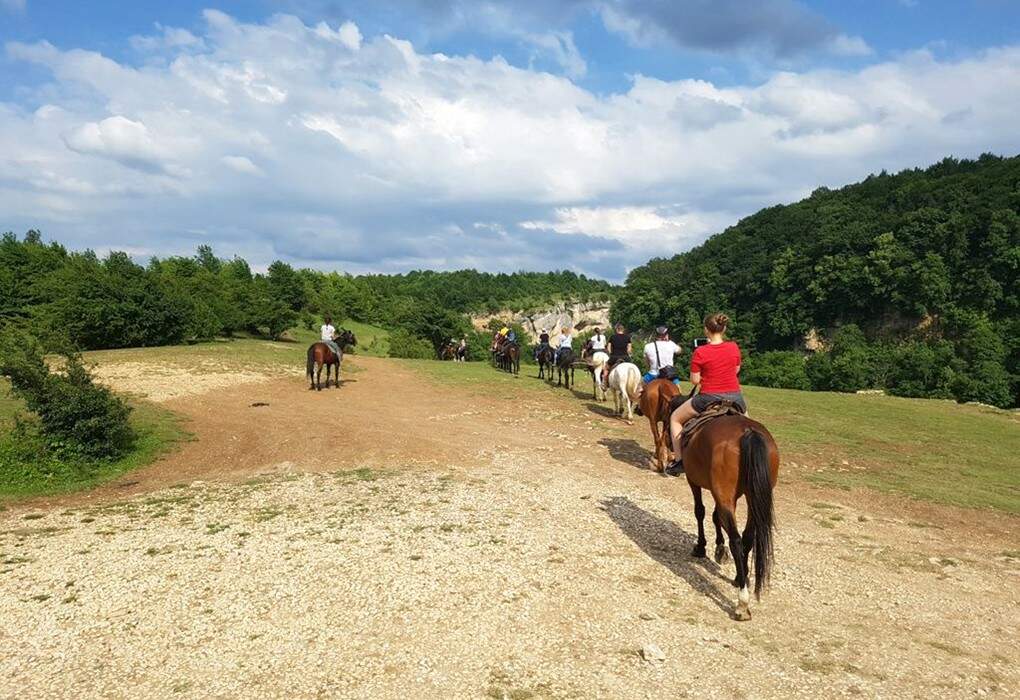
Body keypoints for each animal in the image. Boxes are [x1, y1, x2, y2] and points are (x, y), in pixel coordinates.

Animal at [681, 408, 775, 624]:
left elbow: (700, 511)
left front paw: (702, 547)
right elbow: (716, 516)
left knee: (737, 540)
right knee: (747, 538)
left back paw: (742, 603)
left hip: (724, 493)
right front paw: (719, 548)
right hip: (753, 498)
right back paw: (741, 578)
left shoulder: (694, 481)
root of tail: (748, 431)